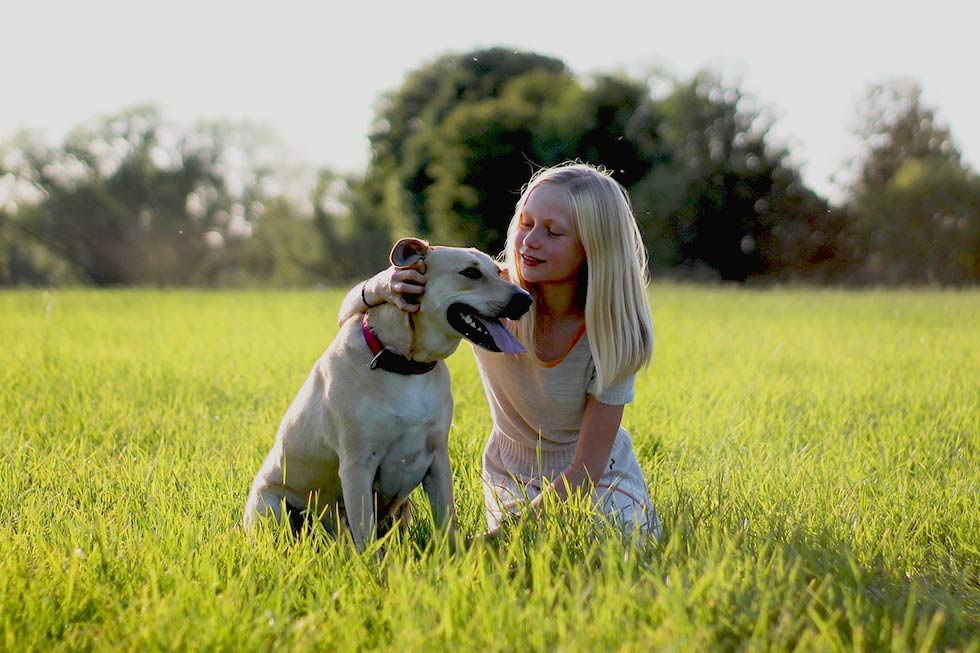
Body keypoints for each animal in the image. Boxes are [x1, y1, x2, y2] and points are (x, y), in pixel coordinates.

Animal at [247, 237, 536, 548]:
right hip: (271, 507)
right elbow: (365, 537)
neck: (407, 365)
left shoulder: (438, 459)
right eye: (470, 273)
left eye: (498, 271)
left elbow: (447, 522)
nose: (526, 299)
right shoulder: (357, 465)